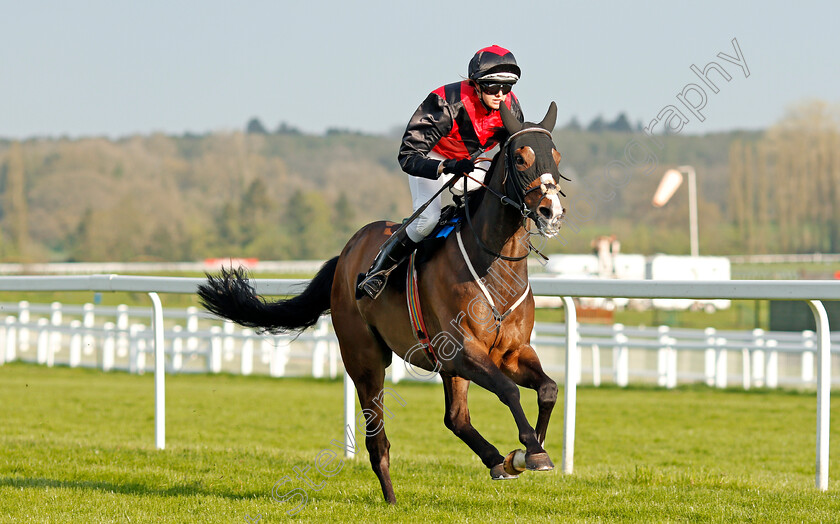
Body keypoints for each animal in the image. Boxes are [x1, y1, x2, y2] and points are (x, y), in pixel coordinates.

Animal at [197, 102, 568, 504]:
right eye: (520, 157)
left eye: (557, 156)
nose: (551, 212)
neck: (493, 264)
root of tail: (346, 254)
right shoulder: (462, 351)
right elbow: (508, 390)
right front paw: (532, 451)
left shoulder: (510, 352)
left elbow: (548, 389)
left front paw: (532, 450)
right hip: (365, 358)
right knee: (379, 439)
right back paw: (391, 498)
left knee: (455, 418)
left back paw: (497, 461)